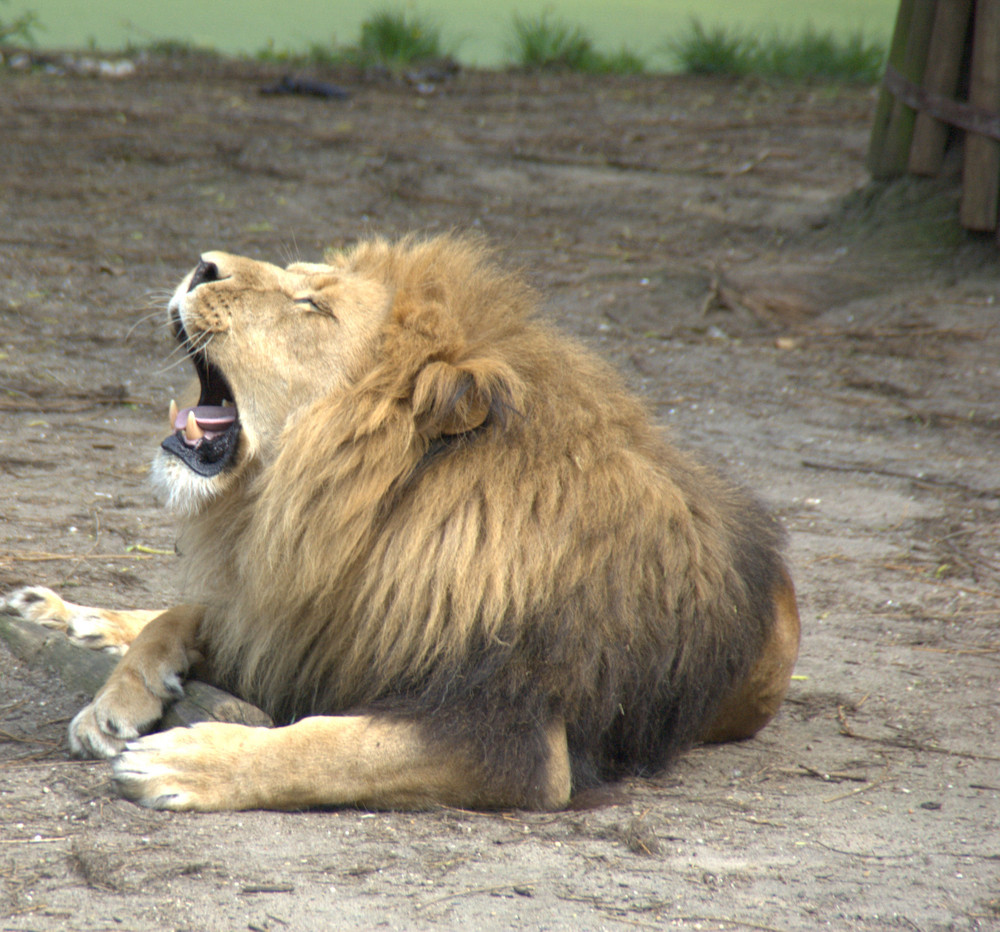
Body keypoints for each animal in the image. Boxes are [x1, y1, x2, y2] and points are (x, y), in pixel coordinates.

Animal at [0, 237, 796, 812]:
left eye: (311, 305)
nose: (203, 264)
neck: (358, 521)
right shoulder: (304, 622)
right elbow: (181, 615)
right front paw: (113, 702)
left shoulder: (513, 737)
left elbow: (332, 745)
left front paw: (187, 758)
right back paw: (57, 611)